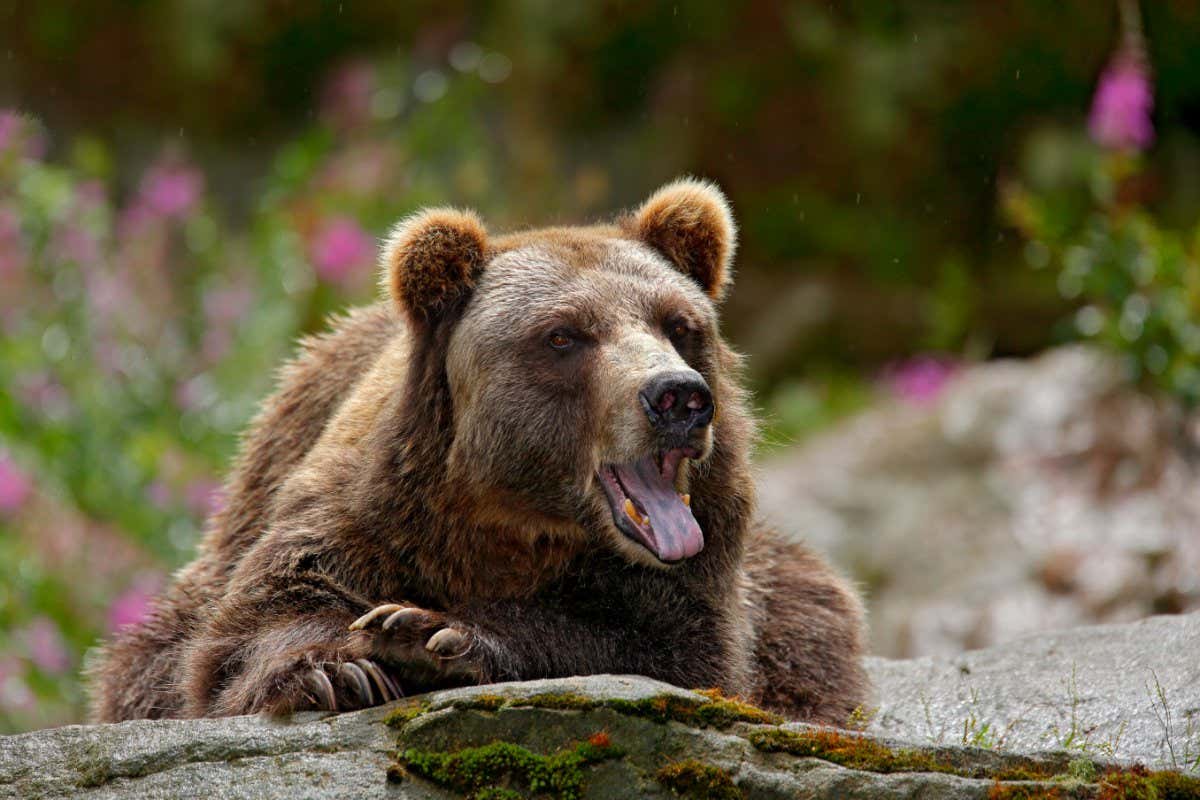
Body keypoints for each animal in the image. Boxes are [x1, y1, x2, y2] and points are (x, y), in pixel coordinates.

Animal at [87, 178, 868, 724]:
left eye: (679, 324)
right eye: (564, 335)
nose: (677, 397)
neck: (515, 521)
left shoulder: (705, 553)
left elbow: (669, 648)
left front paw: (429, 634)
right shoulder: (370, 508)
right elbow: (251, 627)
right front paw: (336, 669)